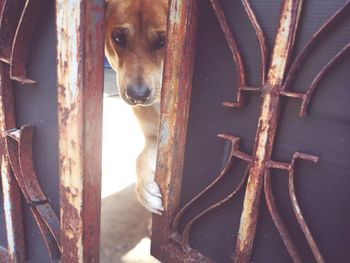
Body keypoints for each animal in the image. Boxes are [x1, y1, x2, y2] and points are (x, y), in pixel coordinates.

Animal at [104, 0, 169, 214]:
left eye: (163, 40)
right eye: (118, 38)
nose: (137, 95)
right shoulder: (154, 140)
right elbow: (140, 159)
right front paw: (144, 190)